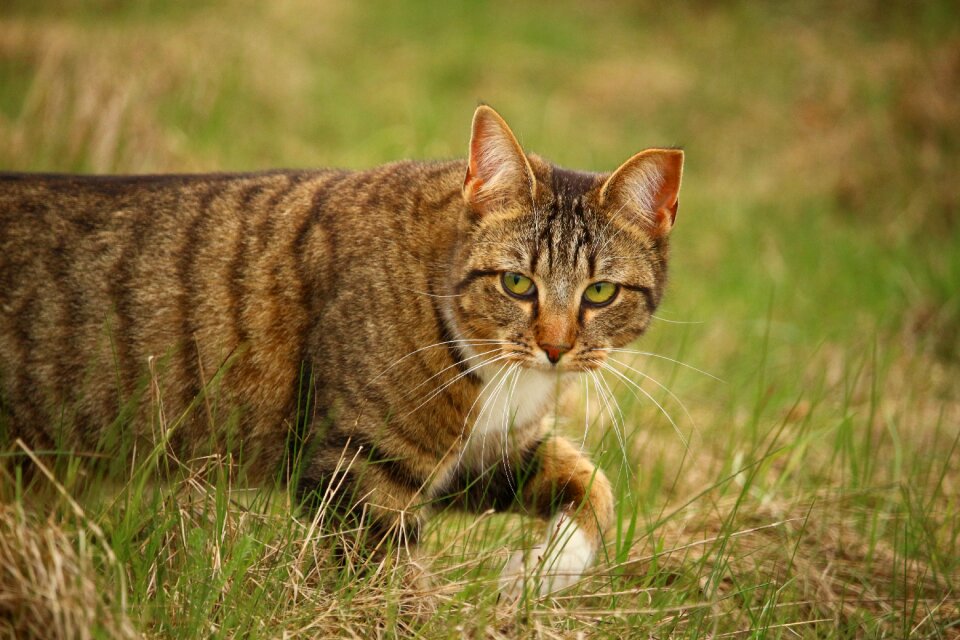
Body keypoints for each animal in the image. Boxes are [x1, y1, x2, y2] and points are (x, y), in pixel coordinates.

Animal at [3, 106, 688, 596]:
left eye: (599, 292)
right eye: (518, 283)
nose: (555, 347)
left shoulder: (479, 458)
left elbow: (593, 486)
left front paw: (540, 574)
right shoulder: (366, 469)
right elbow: (389, 588)